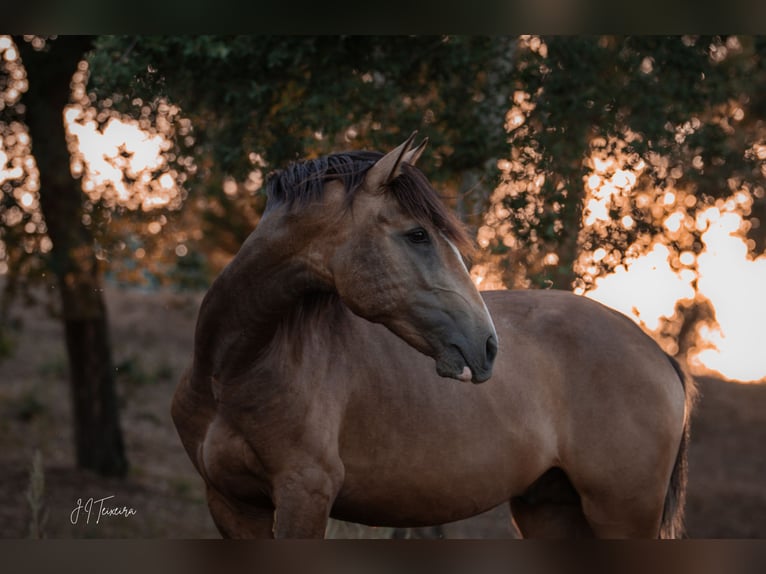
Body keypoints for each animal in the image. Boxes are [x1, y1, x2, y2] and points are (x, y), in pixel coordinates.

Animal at [172, 135, 696, 540]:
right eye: (418, 234)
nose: (487, 346)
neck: (236, 369)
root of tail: (660, 355)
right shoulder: (231, 504)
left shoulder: (305, 496)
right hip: (549, 509)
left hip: (621, 515)